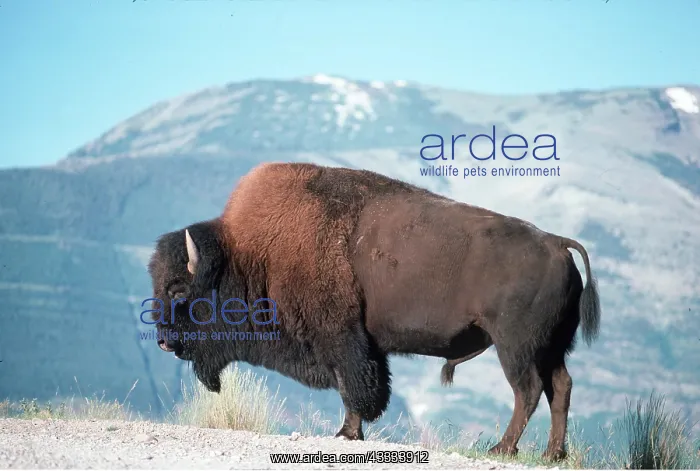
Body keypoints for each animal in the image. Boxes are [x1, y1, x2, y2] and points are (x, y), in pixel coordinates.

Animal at [147, 162, 601, 462]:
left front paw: (347, 433)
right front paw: (350, 432)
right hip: (551, 348)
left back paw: (501, 448)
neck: (249, 254)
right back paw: (552, 454)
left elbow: (352, 387)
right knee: (560, 387)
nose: (164, 342)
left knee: (528, 390)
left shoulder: (340, 340)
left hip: (515, 347)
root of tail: (557, 244)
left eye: (179, 290)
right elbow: (357, 386)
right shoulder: (360, 347)